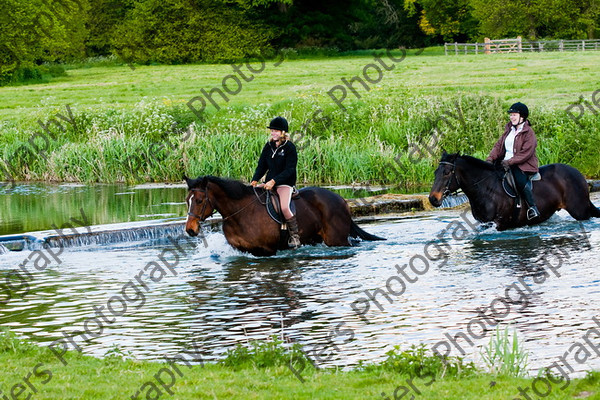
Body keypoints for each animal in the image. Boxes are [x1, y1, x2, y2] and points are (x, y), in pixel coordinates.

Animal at [183, 176, 384, 256]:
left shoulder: (268, 251)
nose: (190, 230)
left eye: (199, 200)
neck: (238, 215)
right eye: (187, 200)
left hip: (337, 239)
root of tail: (341, 200)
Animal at [428, 152, 596, 230]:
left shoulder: (501, 224)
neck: (486, 189)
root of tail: (578, 173)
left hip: (580, 211)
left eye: (447, 173)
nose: (433, 199)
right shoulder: (485, 224)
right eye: (436, 172)